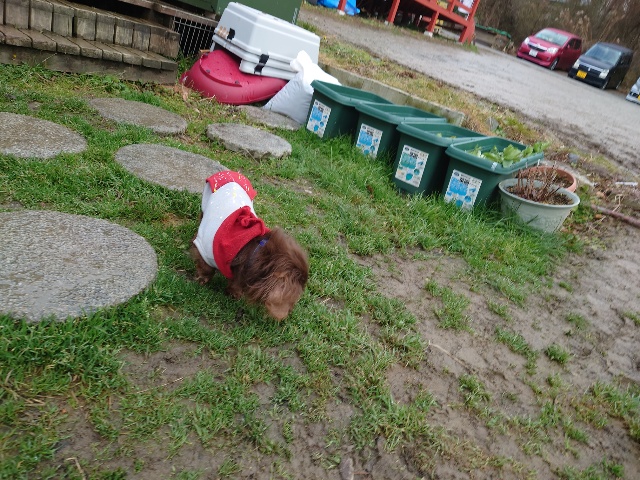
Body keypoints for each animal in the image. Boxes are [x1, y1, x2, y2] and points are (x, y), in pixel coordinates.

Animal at [190, 171, 309, 320]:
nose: (289, 314)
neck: (254, 252)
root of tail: (231, 172)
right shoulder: (204, 248)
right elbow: (205, 267)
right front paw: (201, 279)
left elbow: (236, 283)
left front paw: (233, 293)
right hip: (205, 201)